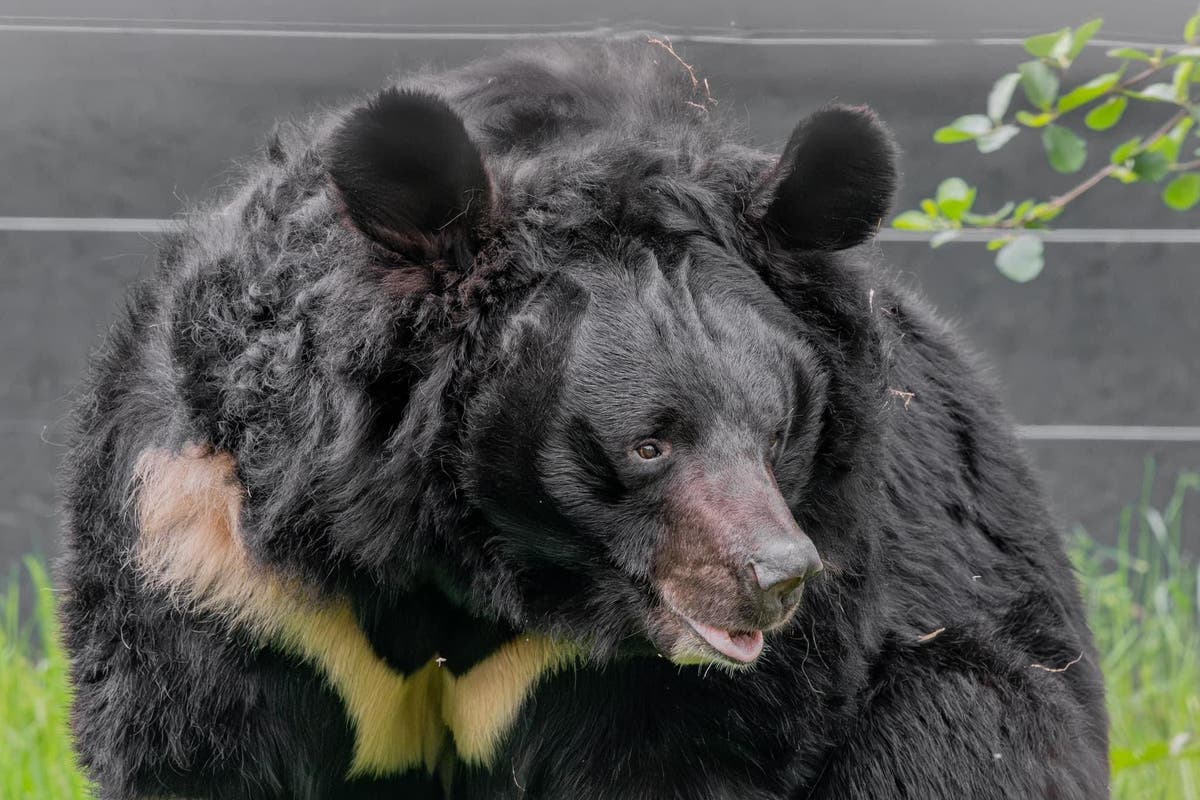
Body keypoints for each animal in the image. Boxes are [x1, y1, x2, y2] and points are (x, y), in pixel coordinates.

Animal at [56, 38, 1104, 800]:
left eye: (778, 436)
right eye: (650, 444)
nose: (777, 579)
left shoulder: (691, 679)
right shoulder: (209, 555)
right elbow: (205, 743)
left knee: (956, 719)